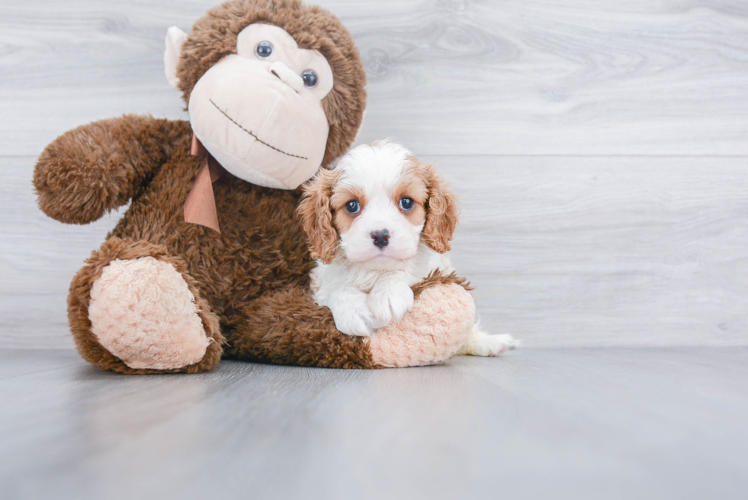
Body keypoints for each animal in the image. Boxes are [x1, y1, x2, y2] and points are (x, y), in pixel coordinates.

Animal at [296, 142, 516, 356]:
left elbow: (406, 269)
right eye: (352, 205)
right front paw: (354, 311)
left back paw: (489, 343)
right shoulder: (320, 285)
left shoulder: (434, 268)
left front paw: (387, 294)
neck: (375, 270)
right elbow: (336, 290)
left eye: (407, 202)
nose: (380, 235)